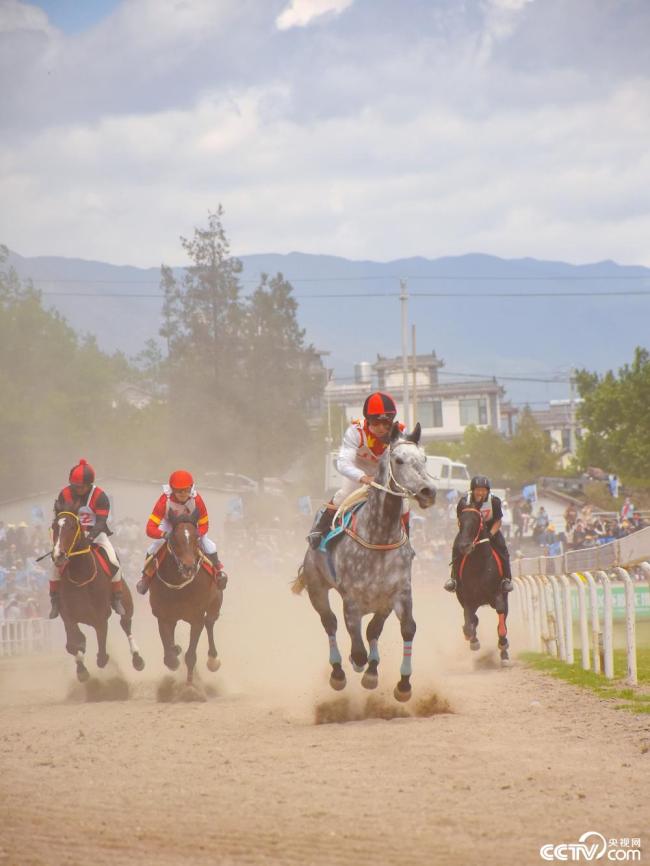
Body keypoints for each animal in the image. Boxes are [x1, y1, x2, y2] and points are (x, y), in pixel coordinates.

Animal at [52, 506, 146, 680]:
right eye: (54, 527)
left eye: (72, 527)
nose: (58, 555)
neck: (81, 577)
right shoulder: (68, 616)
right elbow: (72, 644)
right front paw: (81, 666)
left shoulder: (100, 618)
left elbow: (101, 655)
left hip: (126, 602)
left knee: (126, 623)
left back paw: (137, 658)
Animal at [148, 506, 224, 680]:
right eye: (174, 538)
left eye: (196, 537)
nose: (188, 567)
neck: (180, 588)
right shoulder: (163, 616)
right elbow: (169, 658)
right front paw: (175, 652)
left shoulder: (197, 618)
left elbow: (191, 656)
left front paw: (190, 685)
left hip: (216, 601)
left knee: (210, 621)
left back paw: (213, 659)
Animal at [292, 422, 436, 700]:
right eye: (399, 460)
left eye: (424, 459)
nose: (428, 492)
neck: (379, 536)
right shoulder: (352, 600)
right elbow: (356, 646)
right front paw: (358, 665)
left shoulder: (397, 594)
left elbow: (403, 629)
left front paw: (401, 683)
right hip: (317, 587)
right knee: (330, 623)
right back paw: (338, 672)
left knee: (371, 631)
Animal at [450, 502, 512, 664]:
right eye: (461, 521)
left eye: (477, 520)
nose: (464, 546)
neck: (479, 565)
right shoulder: (467, 599)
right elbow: (468, 623)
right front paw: (473, 640)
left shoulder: (498, 594)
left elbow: (501, 621)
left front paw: (503, 645)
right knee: (473, 620)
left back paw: (504, 654)